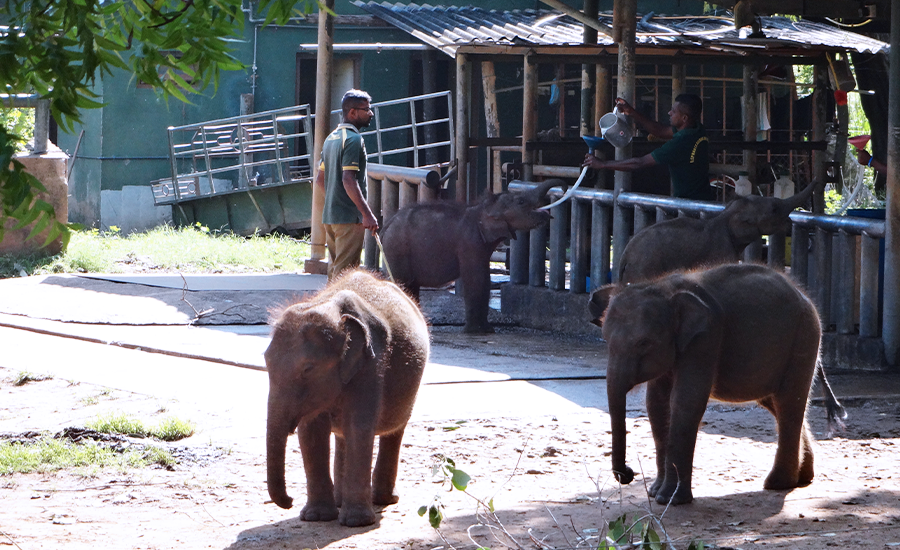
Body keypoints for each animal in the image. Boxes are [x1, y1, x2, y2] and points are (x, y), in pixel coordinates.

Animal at [264, 269, 430, 527]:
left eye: (308, 369)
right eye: (265, 362)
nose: (289, 501)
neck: (329, 307)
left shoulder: (371, 365)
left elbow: (358, 427)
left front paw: (356, 522)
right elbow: (311, 431)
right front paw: (316, 517)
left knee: (394, 431)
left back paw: (383, 499)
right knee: (342, 434)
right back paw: (340, 501)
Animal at [380, 179, 557, 333]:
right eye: (521, 202)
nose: (563, 184)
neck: (484, 208)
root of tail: (385, 225)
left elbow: (484, 279)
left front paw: (488, 330)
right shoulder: (470, 242)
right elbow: (476, 278)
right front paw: (477, 331)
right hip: (397, 249)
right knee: (404, 284)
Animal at [588, 263, 845, 505]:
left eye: (644, 343)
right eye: (606, 339)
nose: (628, 473)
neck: (664, 288)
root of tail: (804, 295)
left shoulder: (706, 338)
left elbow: (686, 401)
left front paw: (670, 500)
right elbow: (656, 404)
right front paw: (655, 493)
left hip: (804, 338)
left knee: (788, 403)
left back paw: (778, 484)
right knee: (777, 405)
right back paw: (802, 478)